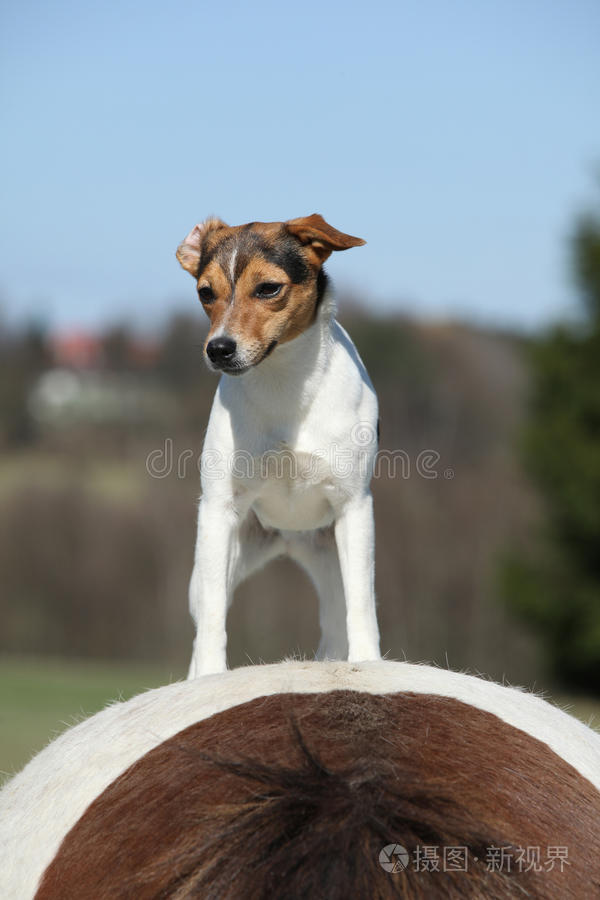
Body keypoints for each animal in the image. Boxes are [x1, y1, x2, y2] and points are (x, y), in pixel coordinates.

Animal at [176, 213, 380, 676]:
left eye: (268, 288)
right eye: (205, 293)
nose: (218, 348)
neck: (283, 383)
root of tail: (289, 537)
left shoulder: (354, 506)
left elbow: (361, 605)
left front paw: (369, 665)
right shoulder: (218, 510)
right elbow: (213, 617)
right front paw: (212, 677)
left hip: (332, 555)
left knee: (338, 619)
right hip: (221, 558)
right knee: (201, 618)